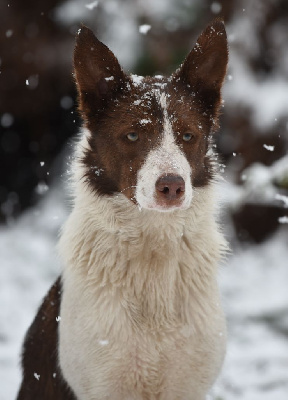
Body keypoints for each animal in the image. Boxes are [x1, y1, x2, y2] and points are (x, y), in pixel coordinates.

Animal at [17, 19, 230, 400]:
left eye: (188, 136)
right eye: (132, 136)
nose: (172, 186)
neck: (153, 249)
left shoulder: (186, 385)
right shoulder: (104, 384)